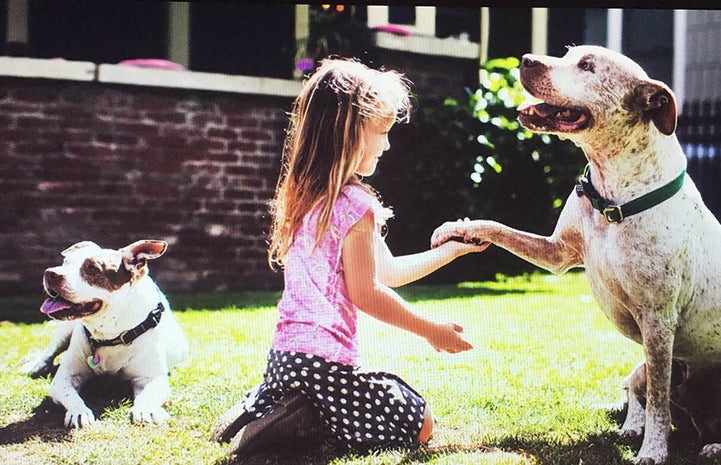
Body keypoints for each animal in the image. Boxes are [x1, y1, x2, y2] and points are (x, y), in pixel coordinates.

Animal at [22, 239, 187, 428]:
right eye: (65, 262)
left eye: (92, 268)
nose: (50, 273)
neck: (110, 334)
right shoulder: (63, 378)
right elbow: (70, 395)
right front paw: (79, 412)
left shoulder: (150, 378)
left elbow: (148, 394)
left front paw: (146, 410)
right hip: (65, 329)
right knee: (50, 350)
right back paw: (34, 365)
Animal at [430, 44, 720, 464]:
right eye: (569, 54)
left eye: (587, 66)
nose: (526, 60)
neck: (612, 198)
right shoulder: (557, 252)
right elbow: (497, 227)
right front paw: (458, 228)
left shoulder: (657, 321)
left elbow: (659, 403)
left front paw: (653, 451)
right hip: (649, 364)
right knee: (639, 386)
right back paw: (635, 426)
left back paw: (708, 443)